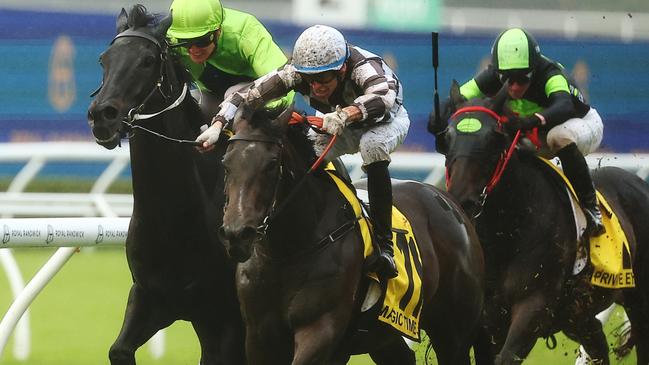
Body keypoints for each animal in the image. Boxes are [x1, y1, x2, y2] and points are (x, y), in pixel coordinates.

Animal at [87, 4, 244, 362]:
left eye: (147, 60)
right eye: (104, 59)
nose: (102, 115)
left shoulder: (229, 317)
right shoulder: (151, 297)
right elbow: (119, 350)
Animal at [220, 104, 484, 364]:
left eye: (272, 163)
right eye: (226, 163)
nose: (237, 234)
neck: (287, 252)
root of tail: (449, 201)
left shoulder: (321, 328)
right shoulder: (259, 337)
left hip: (453, 330)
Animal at [440, 81, 648, 362]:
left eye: (495, 137)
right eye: (447, 137)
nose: (463, 199)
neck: (506, 233)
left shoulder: (535, 306)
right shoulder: (488, 319)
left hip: (638, 301)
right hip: (576, 314)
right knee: (596, 342)